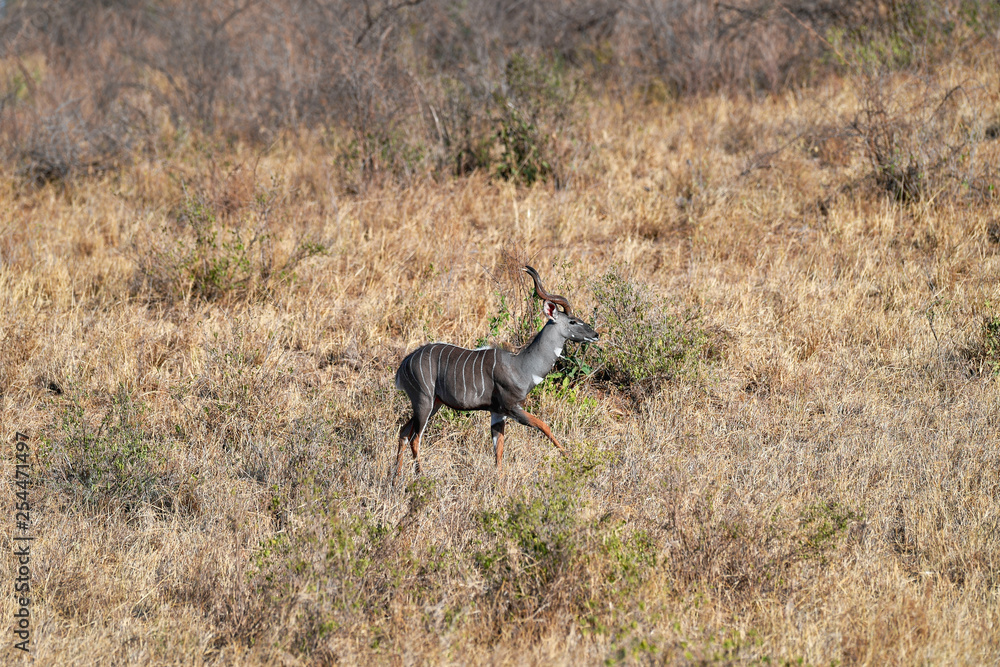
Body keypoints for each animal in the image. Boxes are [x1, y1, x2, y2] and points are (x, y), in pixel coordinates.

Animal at [393, 266, 598, 479]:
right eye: (573, 321)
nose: (595, 334)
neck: (520, 365)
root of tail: (405, 364)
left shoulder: (498, 413)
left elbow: (498, 450)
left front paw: (499, 482)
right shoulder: (512, 407)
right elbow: (544, 425)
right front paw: (570, 458)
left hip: (433, 403)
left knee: (404, 432)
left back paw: (395, 477)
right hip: (424, 401)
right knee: (415, 438)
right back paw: (420, 476)